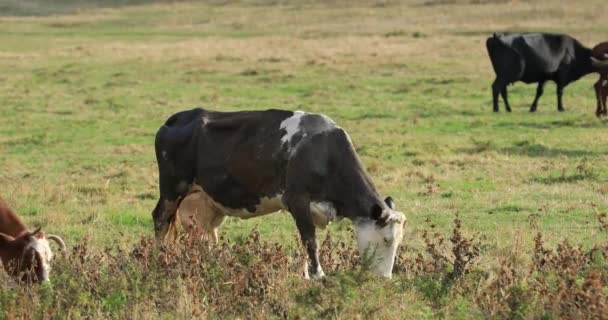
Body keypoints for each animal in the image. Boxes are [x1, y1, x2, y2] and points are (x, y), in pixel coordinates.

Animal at [152, 107, 408, 278]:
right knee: (160, 219)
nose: (385, 279)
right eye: (386, 239)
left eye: (399, 242)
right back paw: (160, 259)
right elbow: (310, 241)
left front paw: (305, 275)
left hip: (204, 203)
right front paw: (319, 275)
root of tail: (179, 117)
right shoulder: (297, 200)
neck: (322, 151)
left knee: (205, 236)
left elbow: (303, 243)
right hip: (172, 190)